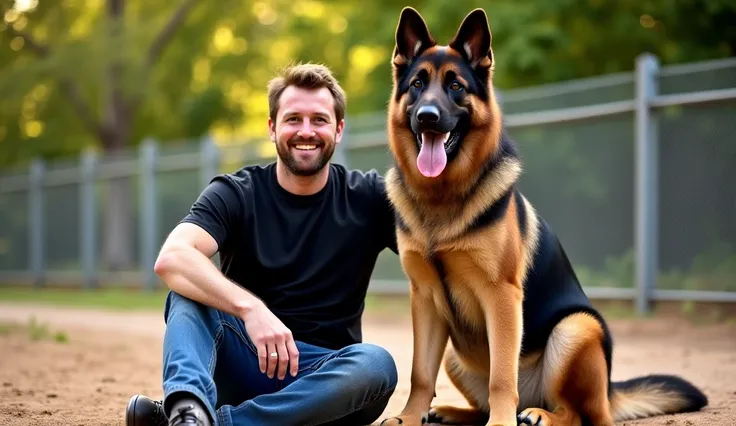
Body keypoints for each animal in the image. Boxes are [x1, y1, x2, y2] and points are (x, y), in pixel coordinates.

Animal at [380, 6, 708, 426]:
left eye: (455, 86)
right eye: (418, 84)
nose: (427, 116)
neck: (442, 197)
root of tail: (609, 394)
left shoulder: (502, 297)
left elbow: (502, 377)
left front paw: (501, 423)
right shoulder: (424, 299)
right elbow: (420, 372)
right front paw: (408, 416)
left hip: (575, 329)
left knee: (576, 412)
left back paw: (538, 414)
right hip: (457, 351)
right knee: (480, 404)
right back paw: (449, 412)